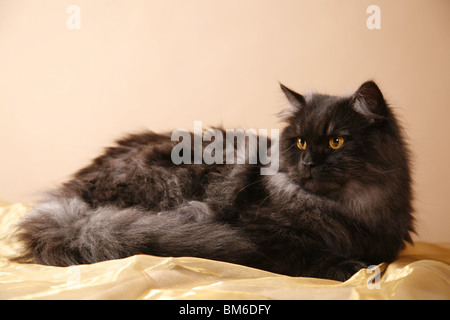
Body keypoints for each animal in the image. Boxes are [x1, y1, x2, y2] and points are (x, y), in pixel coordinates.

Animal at [15, 80, 414, 280]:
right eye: (300, 142)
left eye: (336, 142)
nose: (308, 163)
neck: (347, 209)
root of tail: (71, 200)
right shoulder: (263, 232)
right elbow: (310, 254)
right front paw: (354, 269)